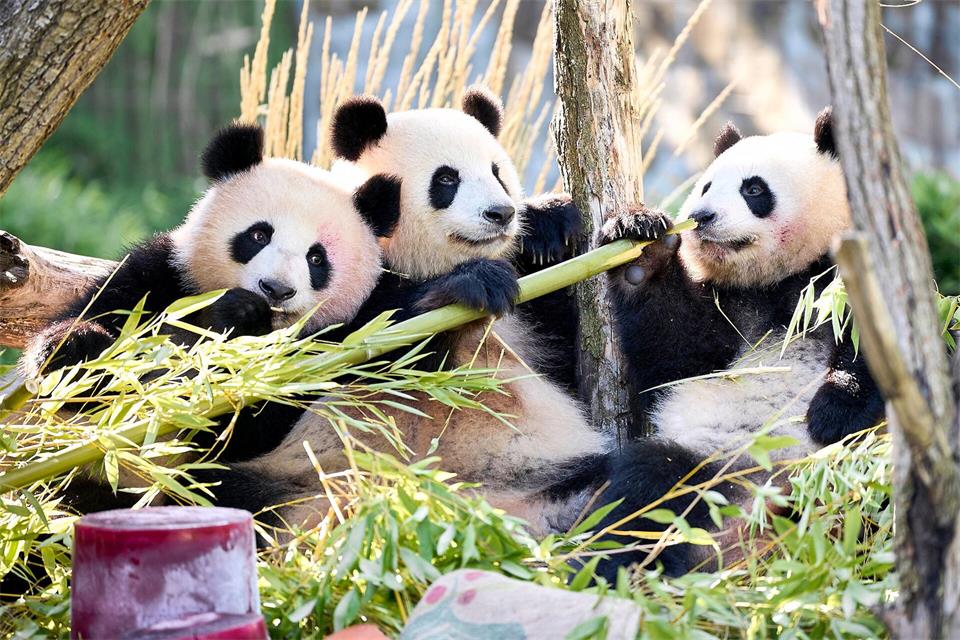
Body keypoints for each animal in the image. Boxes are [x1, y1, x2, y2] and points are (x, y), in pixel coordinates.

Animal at [204, 88, 610, 537]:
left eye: (497, 172)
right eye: (447, 179)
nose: (501, 213)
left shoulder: (532, 317)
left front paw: (551, 226)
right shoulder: (352, 293)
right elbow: (384, 354)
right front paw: (473, 283)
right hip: (296, 484)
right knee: (226, 488)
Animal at [591, 108, 886, 579]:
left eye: (754, 189)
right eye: (707, 185)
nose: (702, 215)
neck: (781, 279)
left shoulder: (846, 276)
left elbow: (876, 350)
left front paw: (832, 411)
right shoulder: (732, 310)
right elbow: (678, 351)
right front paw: (641, 248)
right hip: (710, 462)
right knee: (646, 494)